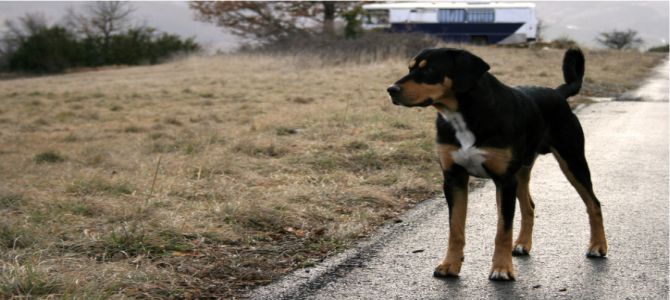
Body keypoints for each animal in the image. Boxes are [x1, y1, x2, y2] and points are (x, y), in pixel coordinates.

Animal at [388, 47, 608, 282]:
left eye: (429, 69)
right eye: (410, 68)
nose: (391, 89)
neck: (465, 115)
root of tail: (558, 93)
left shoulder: (504, 180)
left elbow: (503, 230)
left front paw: (502, 269)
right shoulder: (454, 178)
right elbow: (455, 229)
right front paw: (450, 265)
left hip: (572, 160)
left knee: (594, 203)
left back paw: (598, 246)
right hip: (522, 172)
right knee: (529, 206)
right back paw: (522, 244)